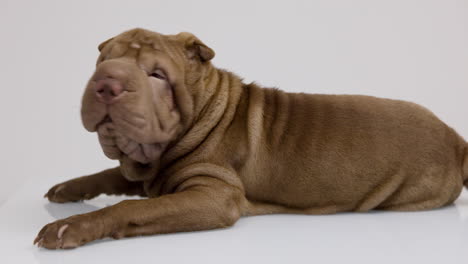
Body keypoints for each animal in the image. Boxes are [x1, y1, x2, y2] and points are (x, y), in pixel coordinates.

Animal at [33, 28, 468, 250]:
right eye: (104, 62)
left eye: (156, 75)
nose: (106, 82)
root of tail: (456, 140)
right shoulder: (150, 174)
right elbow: (110, 175)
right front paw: (67, 189)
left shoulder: (213, 195)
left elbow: (128, 208)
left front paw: (70, 227)